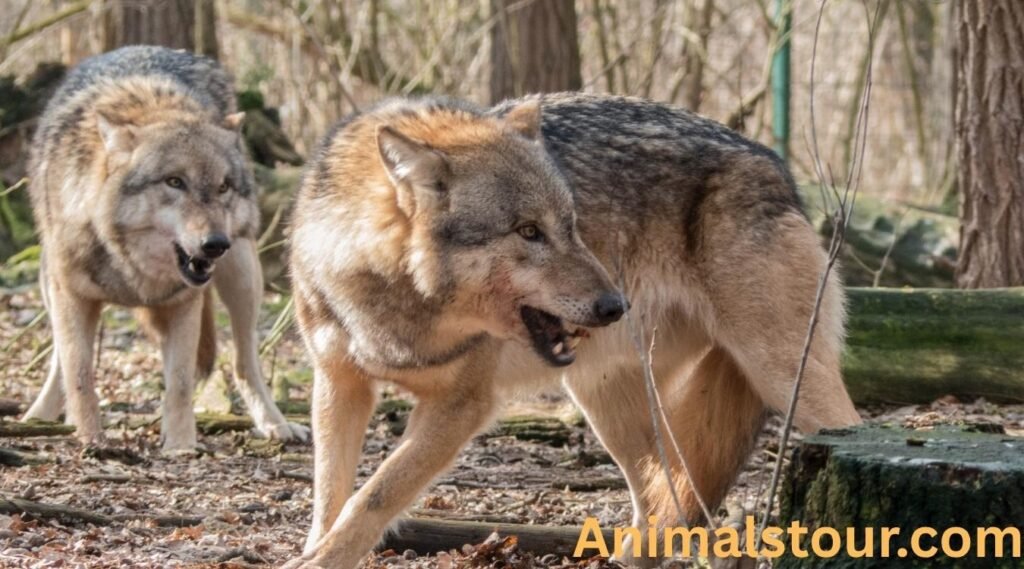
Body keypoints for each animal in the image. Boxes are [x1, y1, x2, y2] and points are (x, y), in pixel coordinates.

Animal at [22, 46, 308, 450]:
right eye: (175, 182)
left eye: (223, 186)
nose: (215, 244)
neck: (131, 268)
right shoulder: (72, 297)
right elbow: (78, 374)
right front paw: (91, 438)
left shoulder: (183, 303)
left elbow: (181, 383)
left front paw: (180, 447)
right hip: (49, 284)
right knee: (59, 362)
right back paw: (40, 416)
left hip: (243, 277)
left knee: (244, 362)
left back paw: (275, 423)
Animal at [284, 93, 861, 568]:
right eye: (528, 231)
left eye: (572, 224)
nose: (615, 305)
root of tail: (775, 166)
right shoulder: (339, 385)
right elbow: (330, 495)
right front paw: (318, 547)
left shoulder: (462, 405)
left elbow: (372, 496)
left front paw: (320, 559)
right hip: (607, 402)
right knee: (665, 504)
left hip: (786, 379)